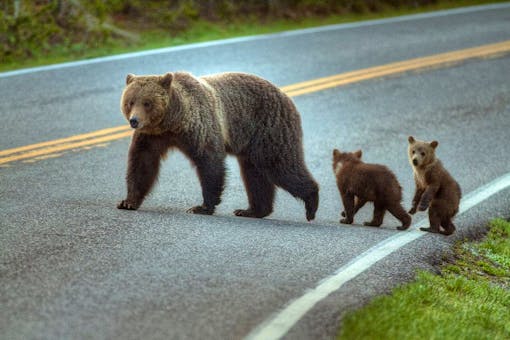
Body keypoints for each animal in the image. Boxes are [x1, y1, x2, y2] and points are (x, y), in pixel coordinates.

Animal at [115, 71, 318, 220]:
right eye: (130, 101)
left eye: (147, 103)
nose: (134, 120)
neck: (173, 121)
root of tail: (286, 95)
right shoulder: (152, 136)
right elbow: (142, 163)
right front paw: (128, 202)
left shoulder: (199, 127)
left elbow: (210, 162)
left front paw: (201, 207)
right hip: (252, 143)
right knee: (255, 174)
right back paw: (252, 210)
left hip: (269, 129)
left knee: (281, 165)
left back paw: (311, 204)